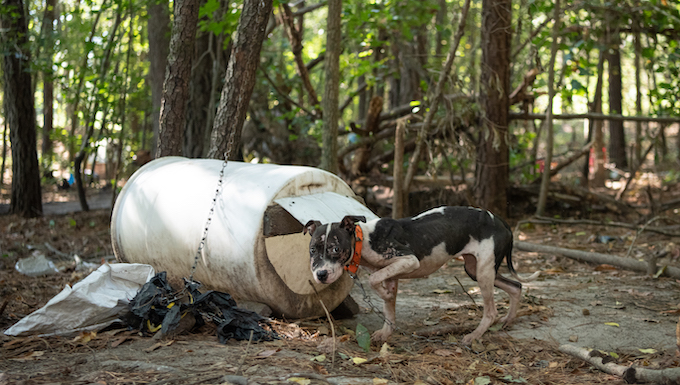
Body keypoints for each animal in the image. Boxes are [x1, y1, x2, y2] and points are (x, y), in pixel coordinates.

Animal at [304, 206, 536, 344]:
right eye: (312, 250)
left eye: (335, 249)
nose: (321, 274)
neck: (366, 240)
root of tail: (503, 223)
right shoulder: (392, 275)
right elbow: (389, 310)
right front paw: (386, 333)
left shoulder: (408, 260)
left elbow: (373, 280)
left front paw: (384, 295)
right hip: (475, 269)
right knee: (516, 287)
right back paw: (508, 321)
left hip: (484, 272)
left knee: (491, 311)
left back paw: (474, 335)